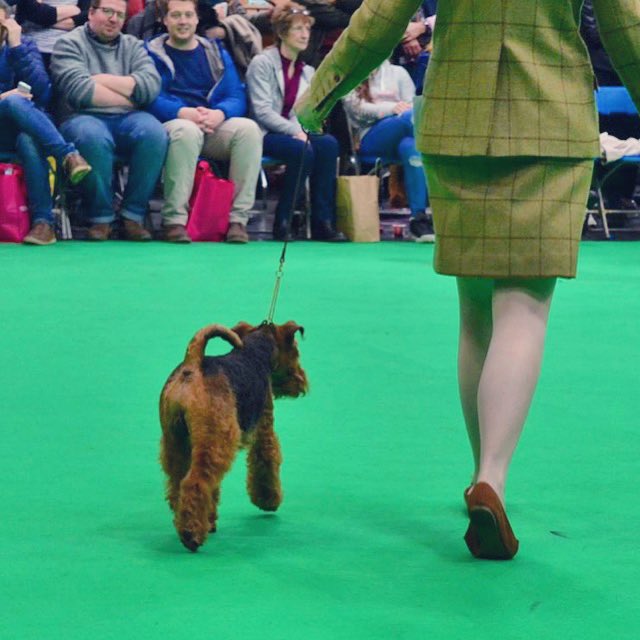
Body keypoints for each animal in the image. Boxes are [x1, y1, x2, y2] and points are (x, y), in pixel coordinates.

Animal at [161, 322, 308, 552]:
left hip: (176, 441)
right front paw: (269, 500)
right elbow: (267, 460)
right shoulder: (264, 430)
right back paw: (191, 535)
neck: (256, 352)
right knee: (194, 483)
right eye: (295, 351)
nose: (301, 381)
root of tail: (192, 366)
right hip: (215, 440)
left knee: (178, 483)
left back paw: (190, 524)